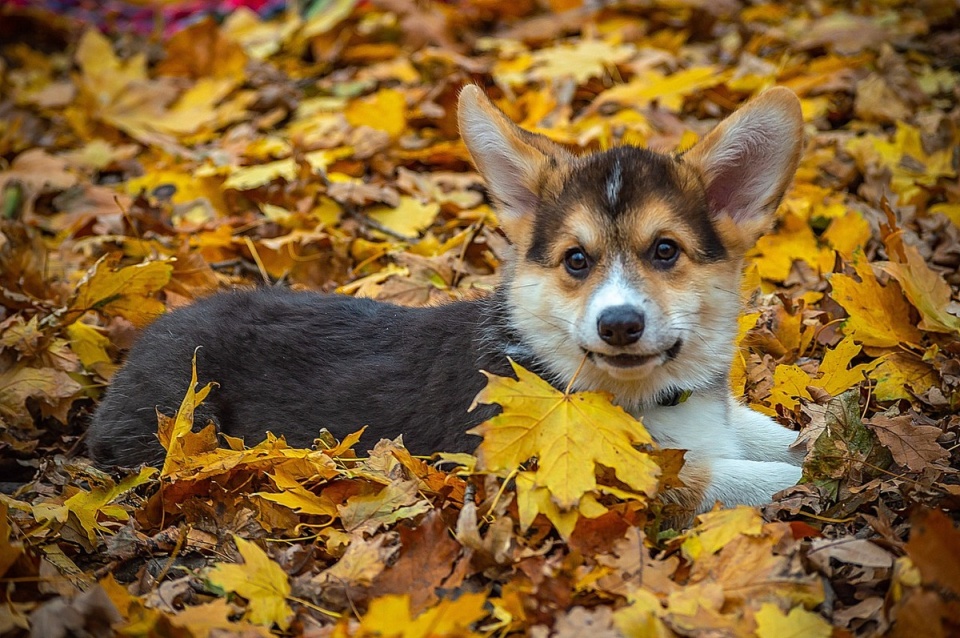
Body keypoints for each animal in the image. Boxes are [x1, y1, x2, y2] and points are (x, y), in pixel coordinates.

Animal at [86, 85, 808, 516]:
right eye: (576, 260)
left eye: (665, 251)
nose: (620, 325)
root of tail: (145, 336)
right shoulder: (616, 475)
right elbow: (745, 478)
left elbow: (773, 437)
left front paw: (821, 438)